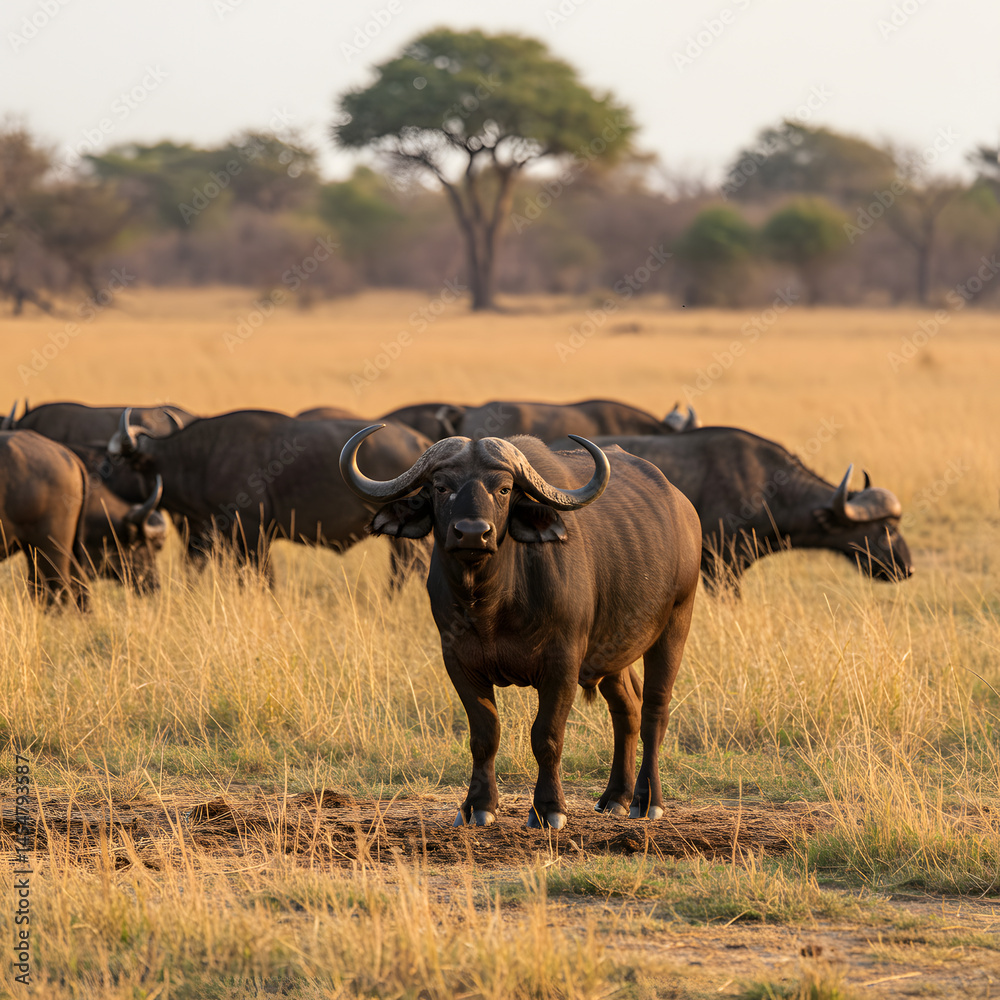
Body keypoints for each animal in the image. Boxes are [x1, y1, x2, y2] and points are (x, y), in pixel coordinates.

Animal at [341, 427, 701, 829]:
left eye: (503, 488)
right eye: (441, 486)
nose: (472, 534)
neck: (492, 604)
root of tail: (683, 508)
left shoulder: (562, 664)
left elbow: (547, 736)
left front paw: (549, 808)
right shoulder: (459, 662)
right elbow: (485, 734)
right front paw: (478, 805)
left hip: (676, 623)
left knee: (655, 708)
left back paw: (647, 799)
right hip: (612, 653)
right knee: (628, 708)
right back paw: (615, 798)